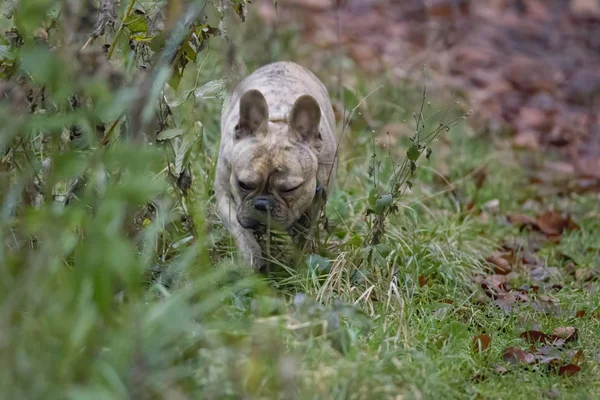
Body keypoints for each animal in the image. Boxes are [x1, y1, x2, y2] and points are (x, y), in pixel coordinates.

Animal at [214, 61, 338, 268]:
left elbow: (303, 235)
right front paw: (252, 259)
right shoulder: (225, 196)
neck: (278, 121)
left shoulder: (312, 205)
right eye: (243, 184)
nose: (262, 204)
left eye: (290, 189)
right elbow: (241, 231)